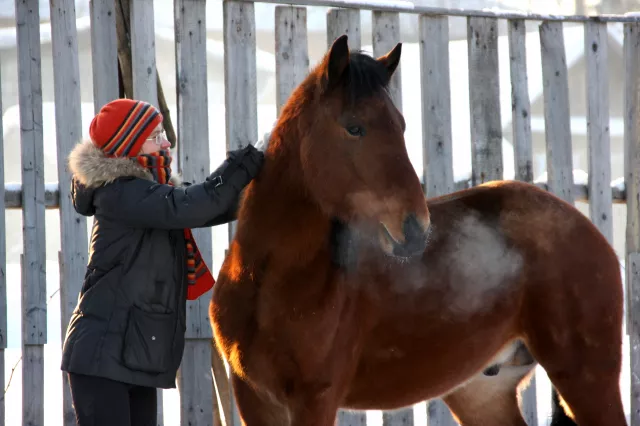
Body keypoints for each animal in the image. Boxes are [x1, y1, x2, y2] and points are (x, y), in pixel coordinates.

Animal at [209, 34, 626, 426]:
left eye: (401, 125)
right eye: (354, 127)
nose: (414, 228)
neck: (271, 283)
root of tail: (586, 228)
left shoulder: (315, 399)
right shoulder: (254, 399)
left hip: (587, 378)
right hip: (482, 393)